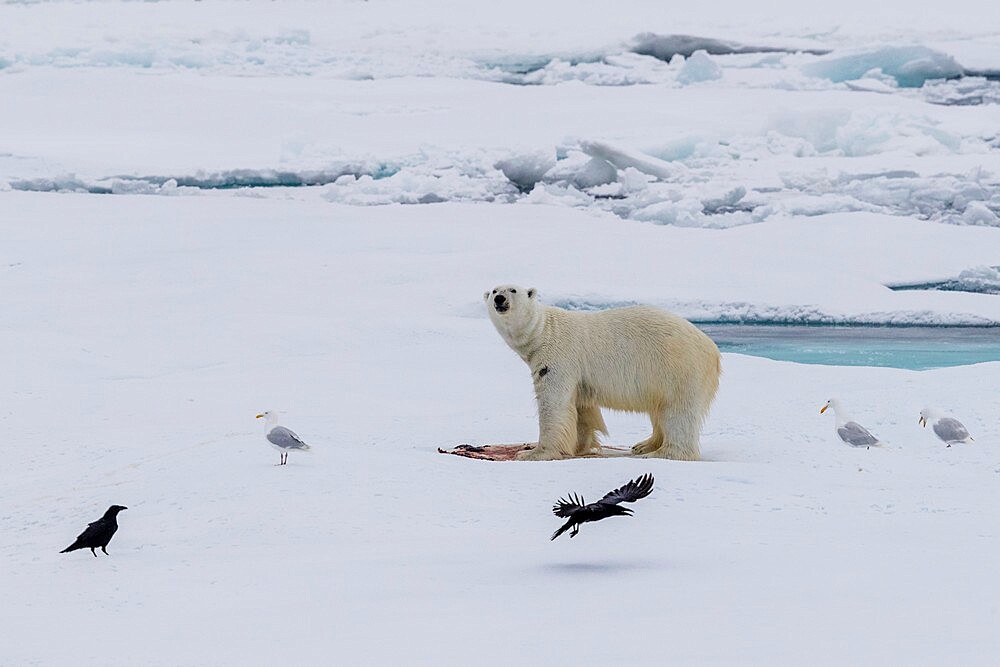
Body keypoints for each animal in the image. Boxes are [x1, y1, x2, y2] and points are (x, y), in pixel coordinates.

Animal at [484, 284, 720, 462]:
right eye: (494, 290)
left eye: (513, 289)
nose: (499, 299)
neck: (544, 331)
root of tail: (712, 349)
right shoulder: (579, 375)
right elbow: (581, 409)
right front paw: (580, 446)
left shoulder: (558, 358)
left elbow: (554, 403)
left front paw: (533, 453)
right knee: (659, 409)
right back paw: (644, 445)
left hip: (678, 368)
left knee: (677, 412)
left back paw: (661, 452)